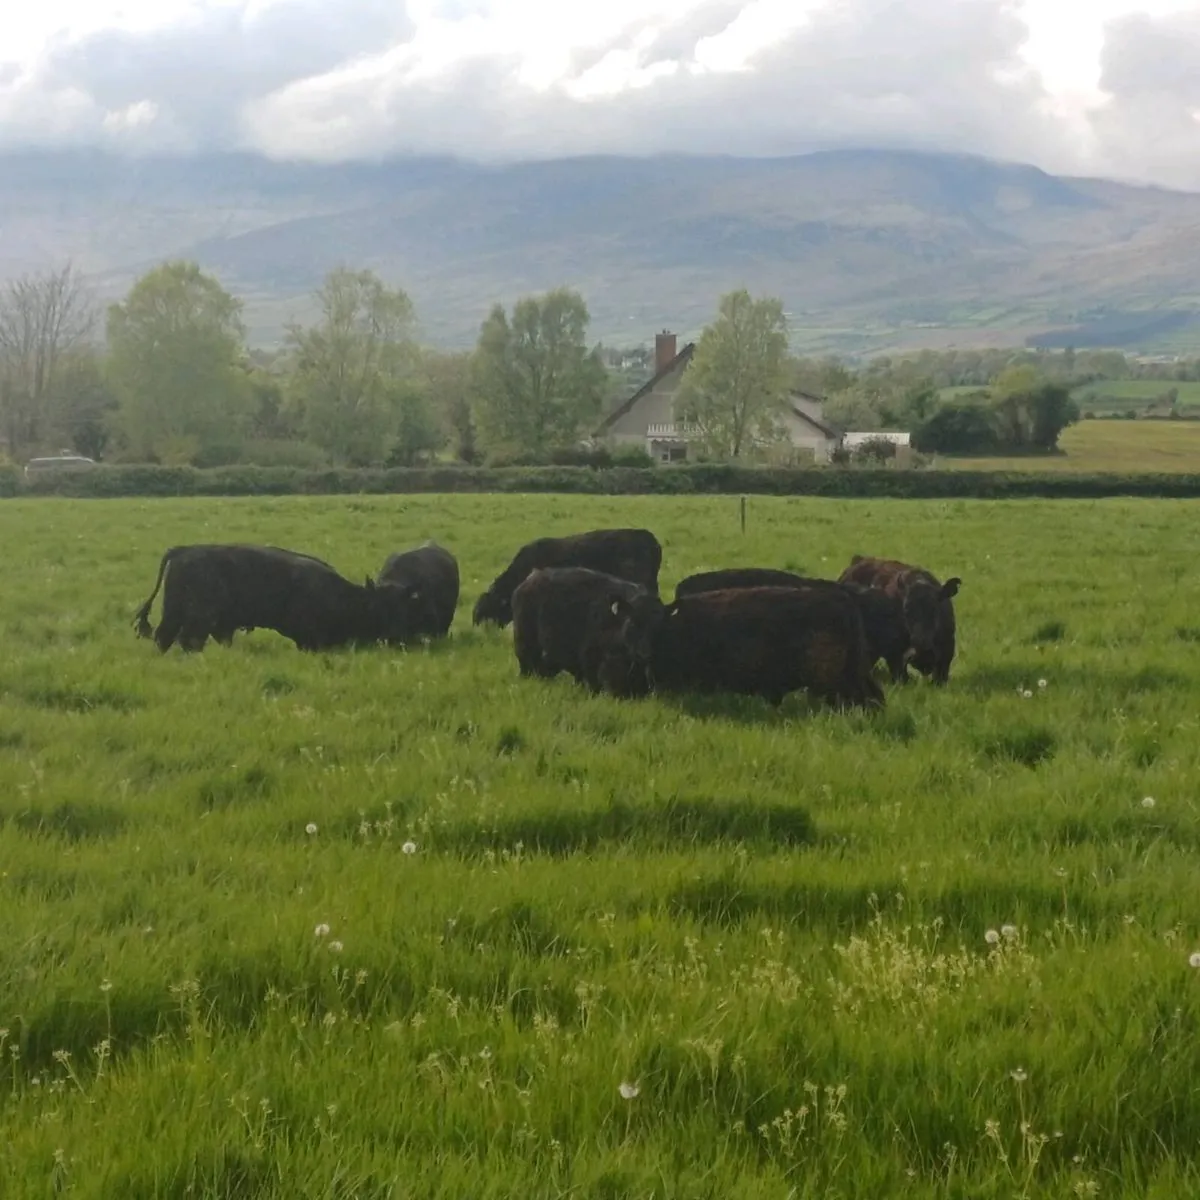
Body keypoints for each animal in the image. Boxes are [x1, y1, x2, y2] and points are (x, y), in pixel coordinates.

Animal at [133, 544, 431, 653]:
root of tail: (185, 549)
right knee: (189, 639)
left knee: (165, 636)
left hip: (174, 612)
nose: (395, 635)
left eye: (404, 608)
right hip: (198, 618)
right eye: (379, 608)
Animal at [511, 566, 662, 693]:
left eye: (657, 627)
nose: (645, 653)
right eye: (633, 623)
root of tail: (530, 579)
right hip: (525, 645)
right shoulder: (591, 658)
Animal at [596, 585, 885, 710]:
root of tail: (843, 599)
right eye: (633, 622)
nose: (644, 652)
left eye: (658, 624)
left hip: (834, 679)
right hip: (854, 672)